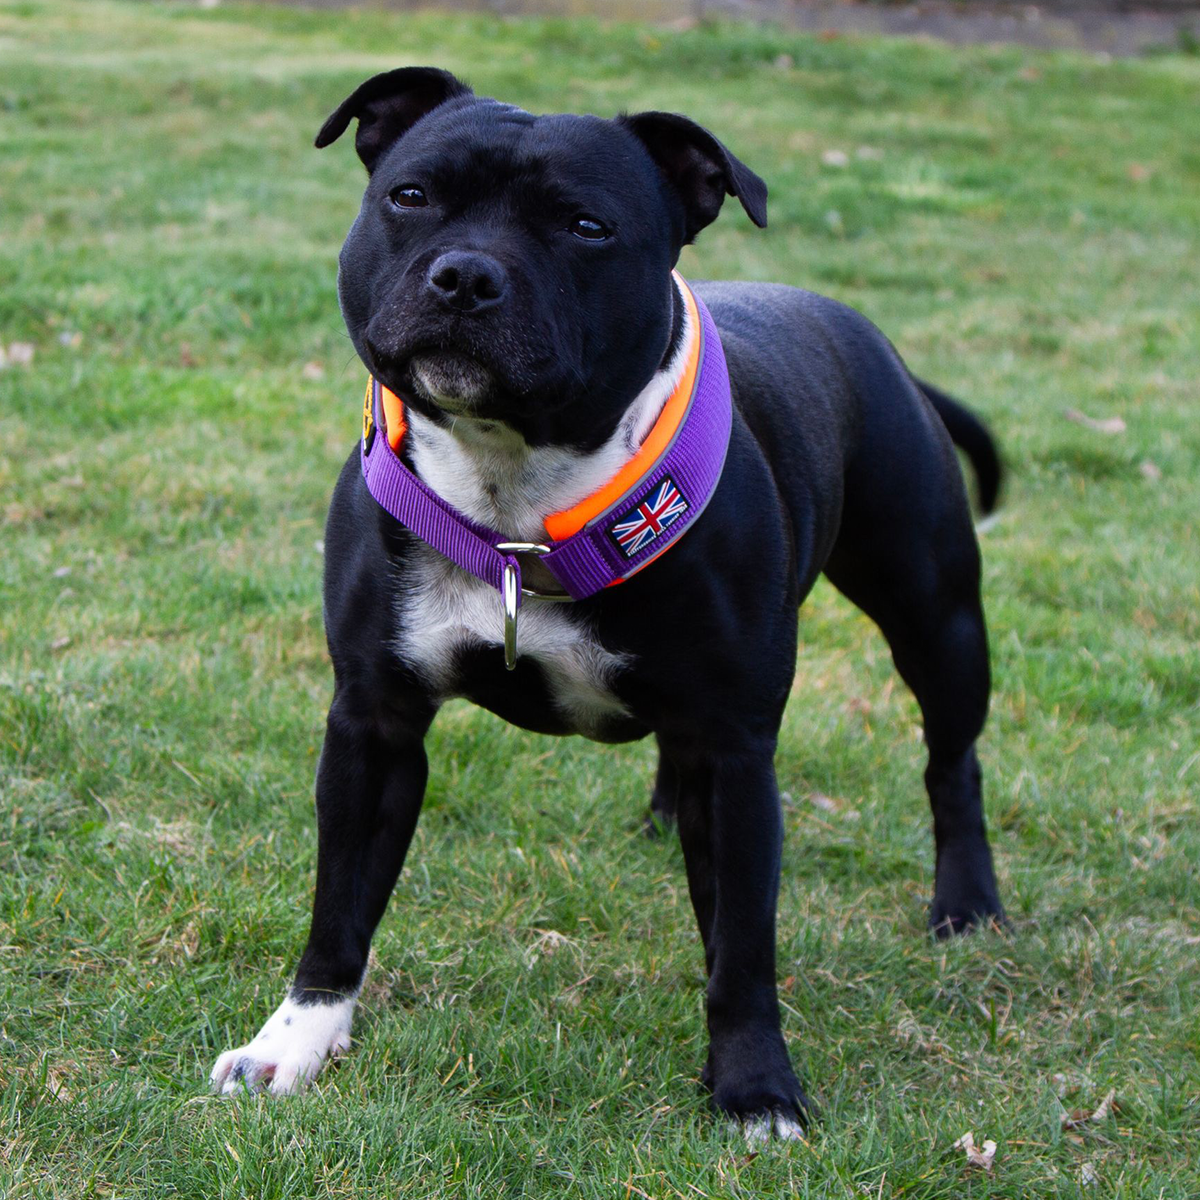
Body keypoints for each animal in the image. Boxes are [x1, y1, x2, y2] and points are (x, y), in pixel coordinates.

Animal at [213, 70, 1003, 1128]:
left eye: (586, 226)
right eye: (411, 197)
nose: (466, 276)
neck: (516, 503)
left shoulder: (738, 751)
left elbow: (742, 946)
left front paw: (756, 1089)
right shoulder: (373, 725)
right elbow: (338, 908)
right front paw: (291, 1045)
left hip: (933, 611)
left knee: (952, 761)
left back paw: (968, 906)